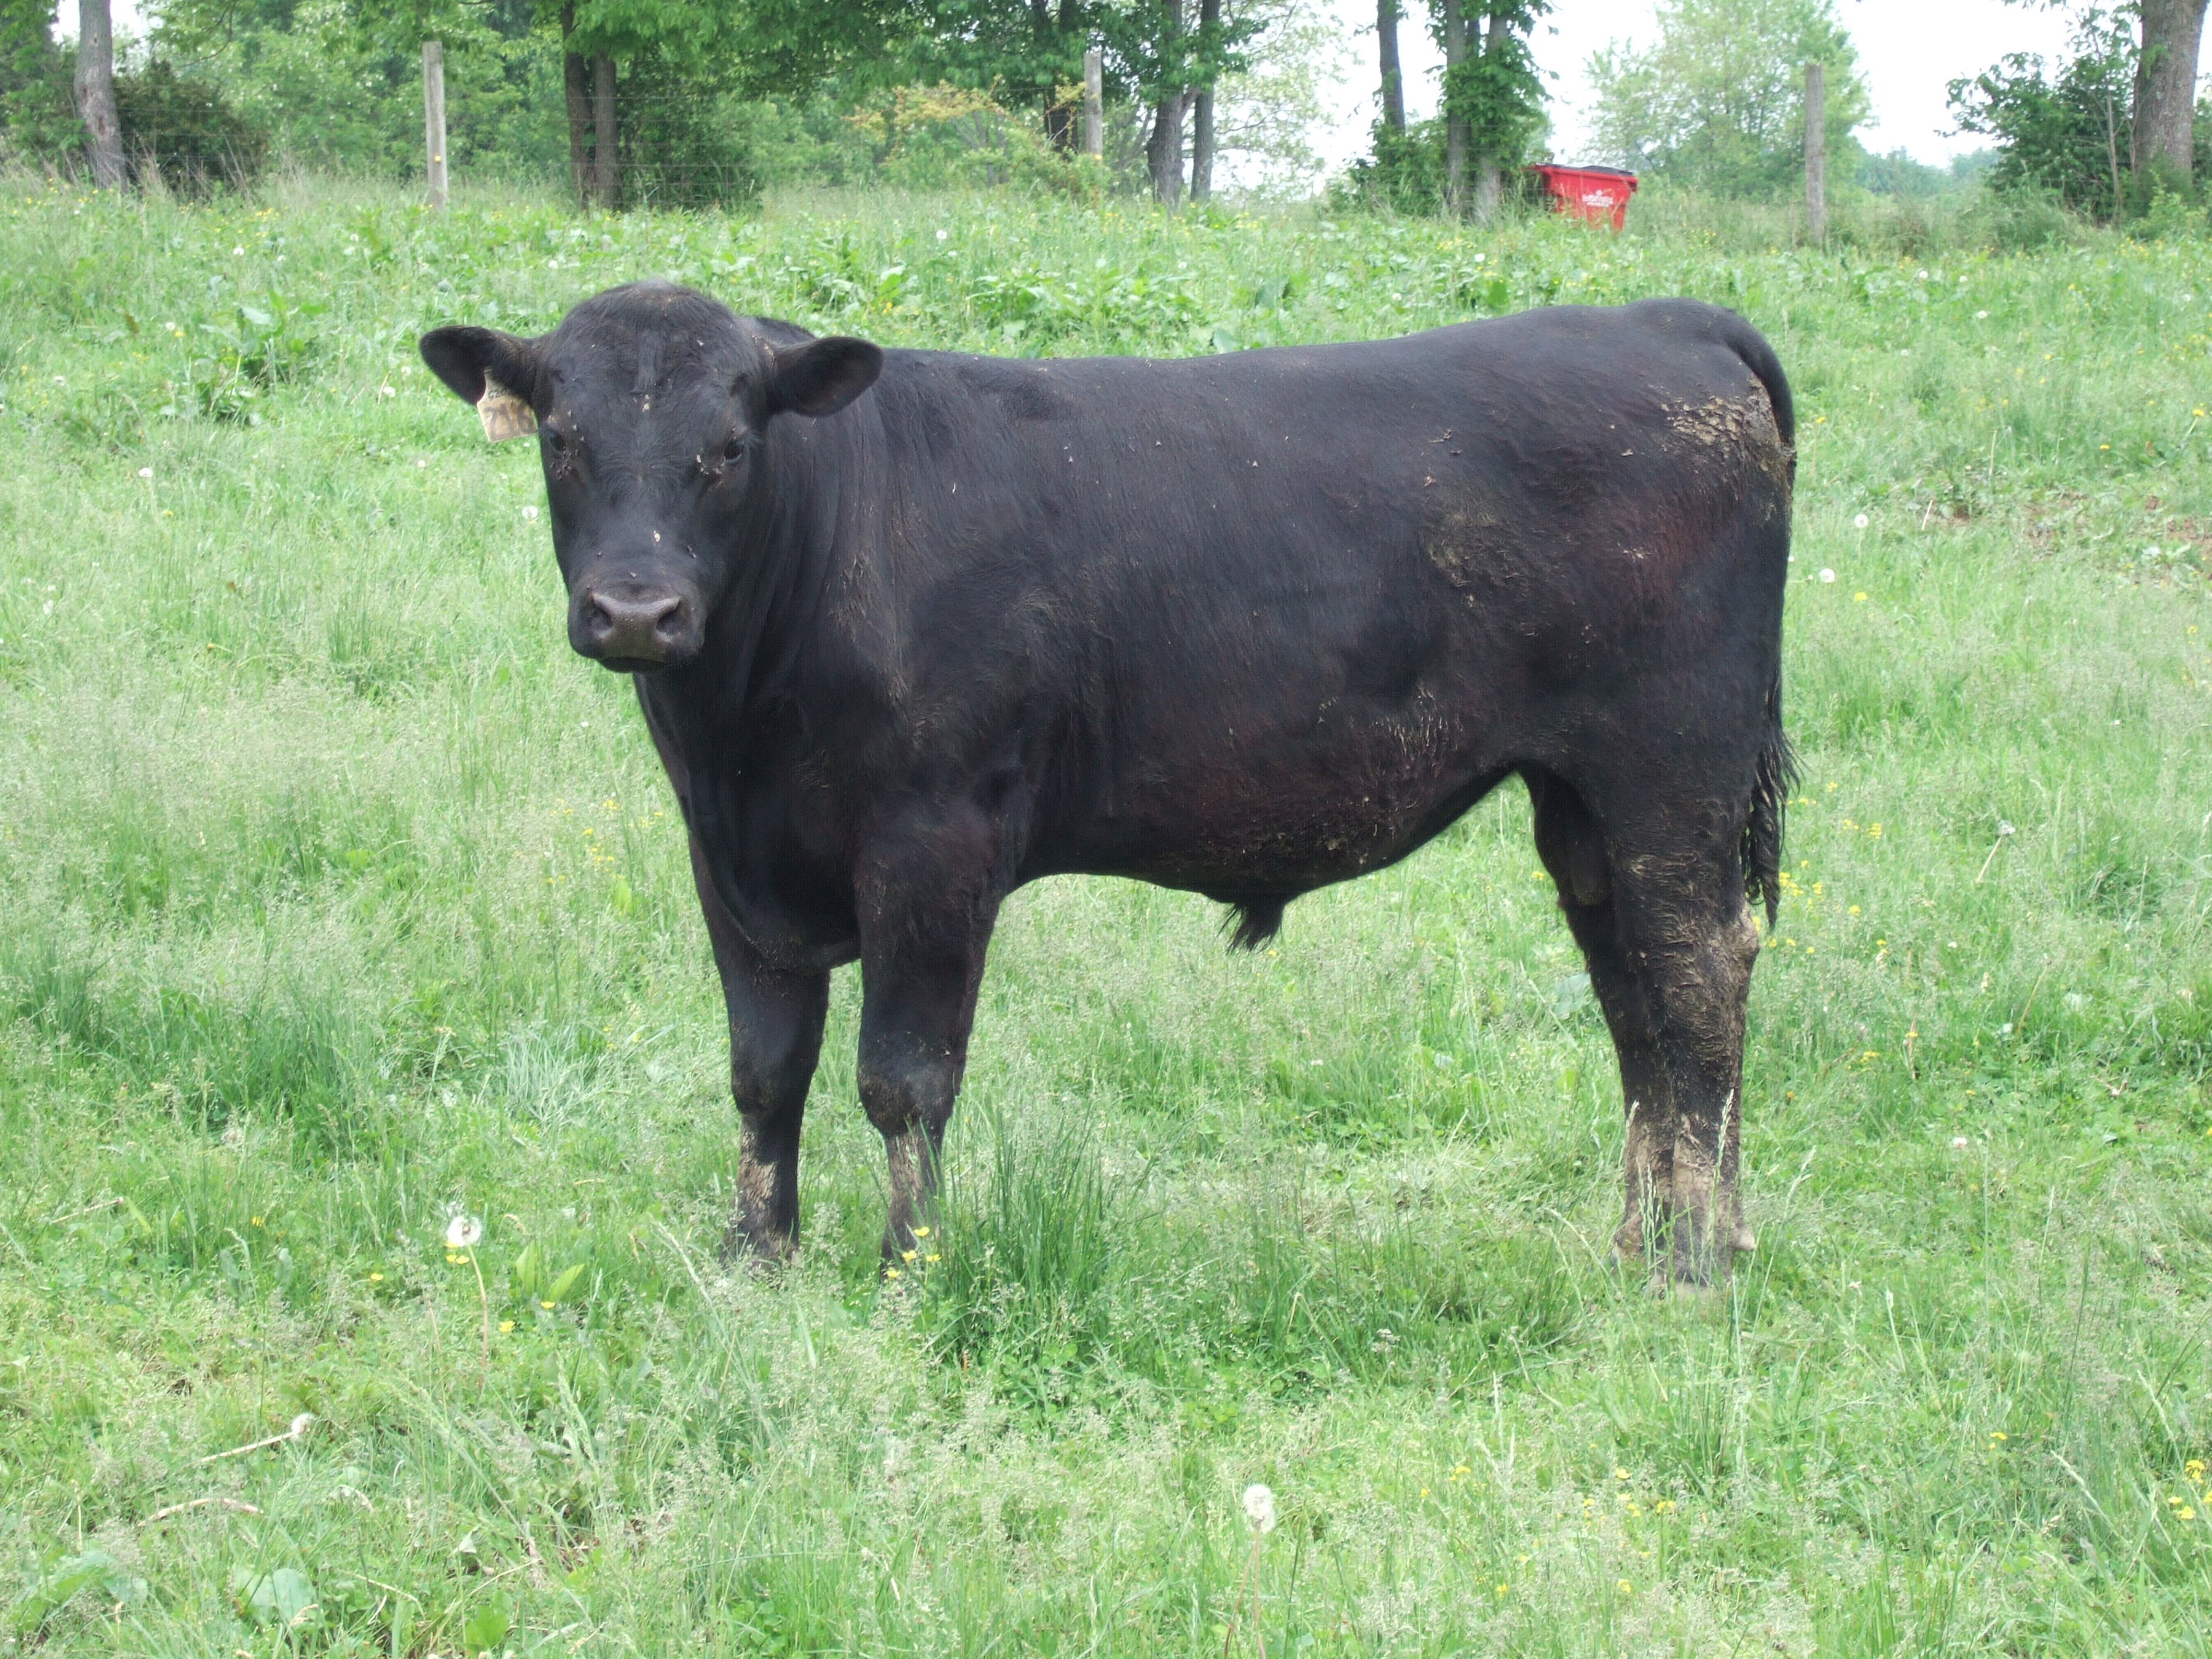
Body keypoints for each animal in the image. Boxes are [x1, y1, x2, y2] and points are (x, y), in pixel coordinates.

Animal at [420, 281, 1793, 1288]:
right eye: (562, 441)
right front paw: (754, 1258)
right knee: (1631, 997)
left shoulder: (932, 843)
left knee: (1695, 975)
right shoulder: (731, 861)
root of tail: (1661, 319)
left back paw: (1695, 1262)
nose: (636, 612)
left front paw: (908, 1267)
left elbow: (901, 1079)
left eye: (730, 447)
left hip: (1670, 768)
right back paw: (1643, 1243)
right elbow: (765, 1068)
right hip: (1582, 805)